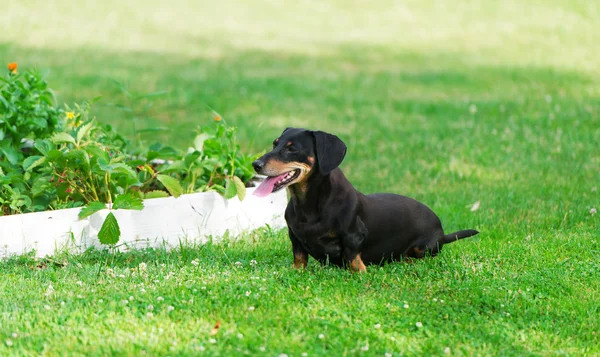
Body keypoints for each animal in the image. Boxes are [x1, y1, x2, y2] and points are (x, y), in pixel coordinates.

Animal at [252, 128, 478, 272]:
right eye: (275, 144)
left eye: (292, 148)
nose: (256, 164)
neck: (309, 205)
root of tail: (442, 233)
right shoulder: (295, 238)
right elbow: (299, 259)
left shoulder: (354, 235)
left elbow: (353, 257)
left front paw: (360, 273)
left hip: (424, 247)